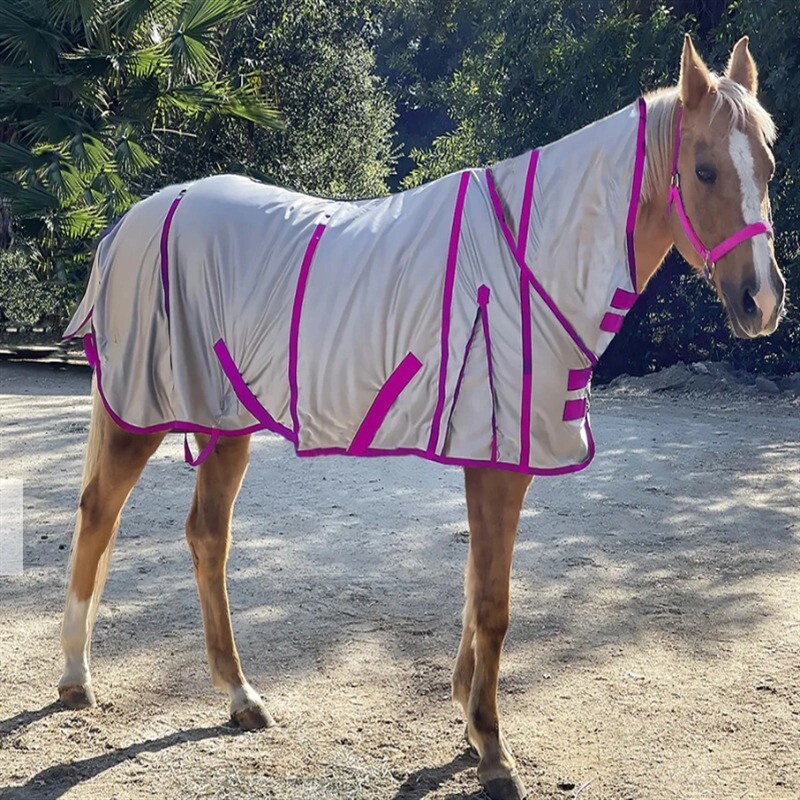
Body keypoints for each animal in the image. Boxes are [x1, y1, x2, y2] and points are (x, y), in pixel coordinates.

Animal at [57, 35, 785, 800]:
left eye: (768, 166)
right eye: (704, 169)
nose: (762, 302)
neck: (531, 256)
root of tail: (132, 220)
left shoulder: (499, 458)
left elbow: (474, 587)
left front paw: (468, 717)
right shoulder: (495, 463)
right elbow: (493, 603)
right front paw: (492, 748)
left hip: (226, 421)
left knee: (206, 538)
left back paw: (239, 695)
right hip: (142, 412)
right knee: (98, 514)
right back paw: (77, 678)